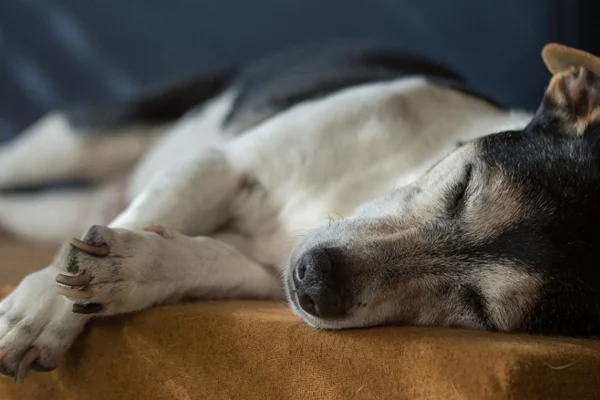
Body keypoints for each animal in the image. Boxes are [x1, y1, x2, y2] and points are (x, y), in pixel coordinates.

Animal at [1, 41, 600, 382]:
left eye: (480, 311)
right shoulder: (222, 164)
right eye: (464, 185)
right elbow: (142, 216)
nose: (315, 280)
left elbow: (200, 260)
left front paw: (128, 271)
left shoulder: (265, 277)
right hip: (80, 137)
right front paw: (45, 310)